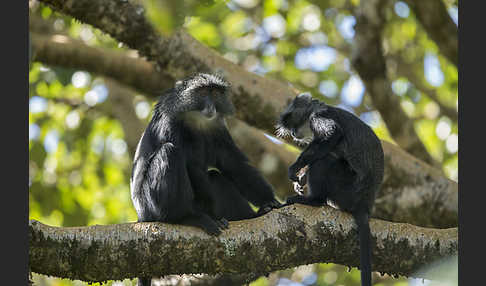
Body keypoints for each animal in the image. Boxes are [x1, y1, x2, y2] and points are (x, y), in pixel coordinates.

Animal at [130, 73, 280, 286]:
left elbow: (234, 164)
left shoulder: (218, 129)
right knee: (170, 152)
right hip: (151, 204)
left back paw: (252, 216)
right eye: (202, 92)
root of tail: (141, 216)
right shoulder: (169, 123)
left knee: (216, 178)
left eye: (215, 93)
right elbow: (190, 165)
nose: (210, 107)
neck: (196, 122)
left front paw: (270, 202)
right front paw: (207, 217)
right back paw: (185, 218)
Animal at [278, 92, 384, 286]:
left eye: (292, 120)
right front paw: (301, 178)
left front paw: (295, 168)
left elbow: (333, 135)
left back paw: (314, 200)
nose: (293, 133)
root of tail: (364, 204)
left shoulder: (318, 117)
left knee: (325, 160)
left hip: (345, 187)